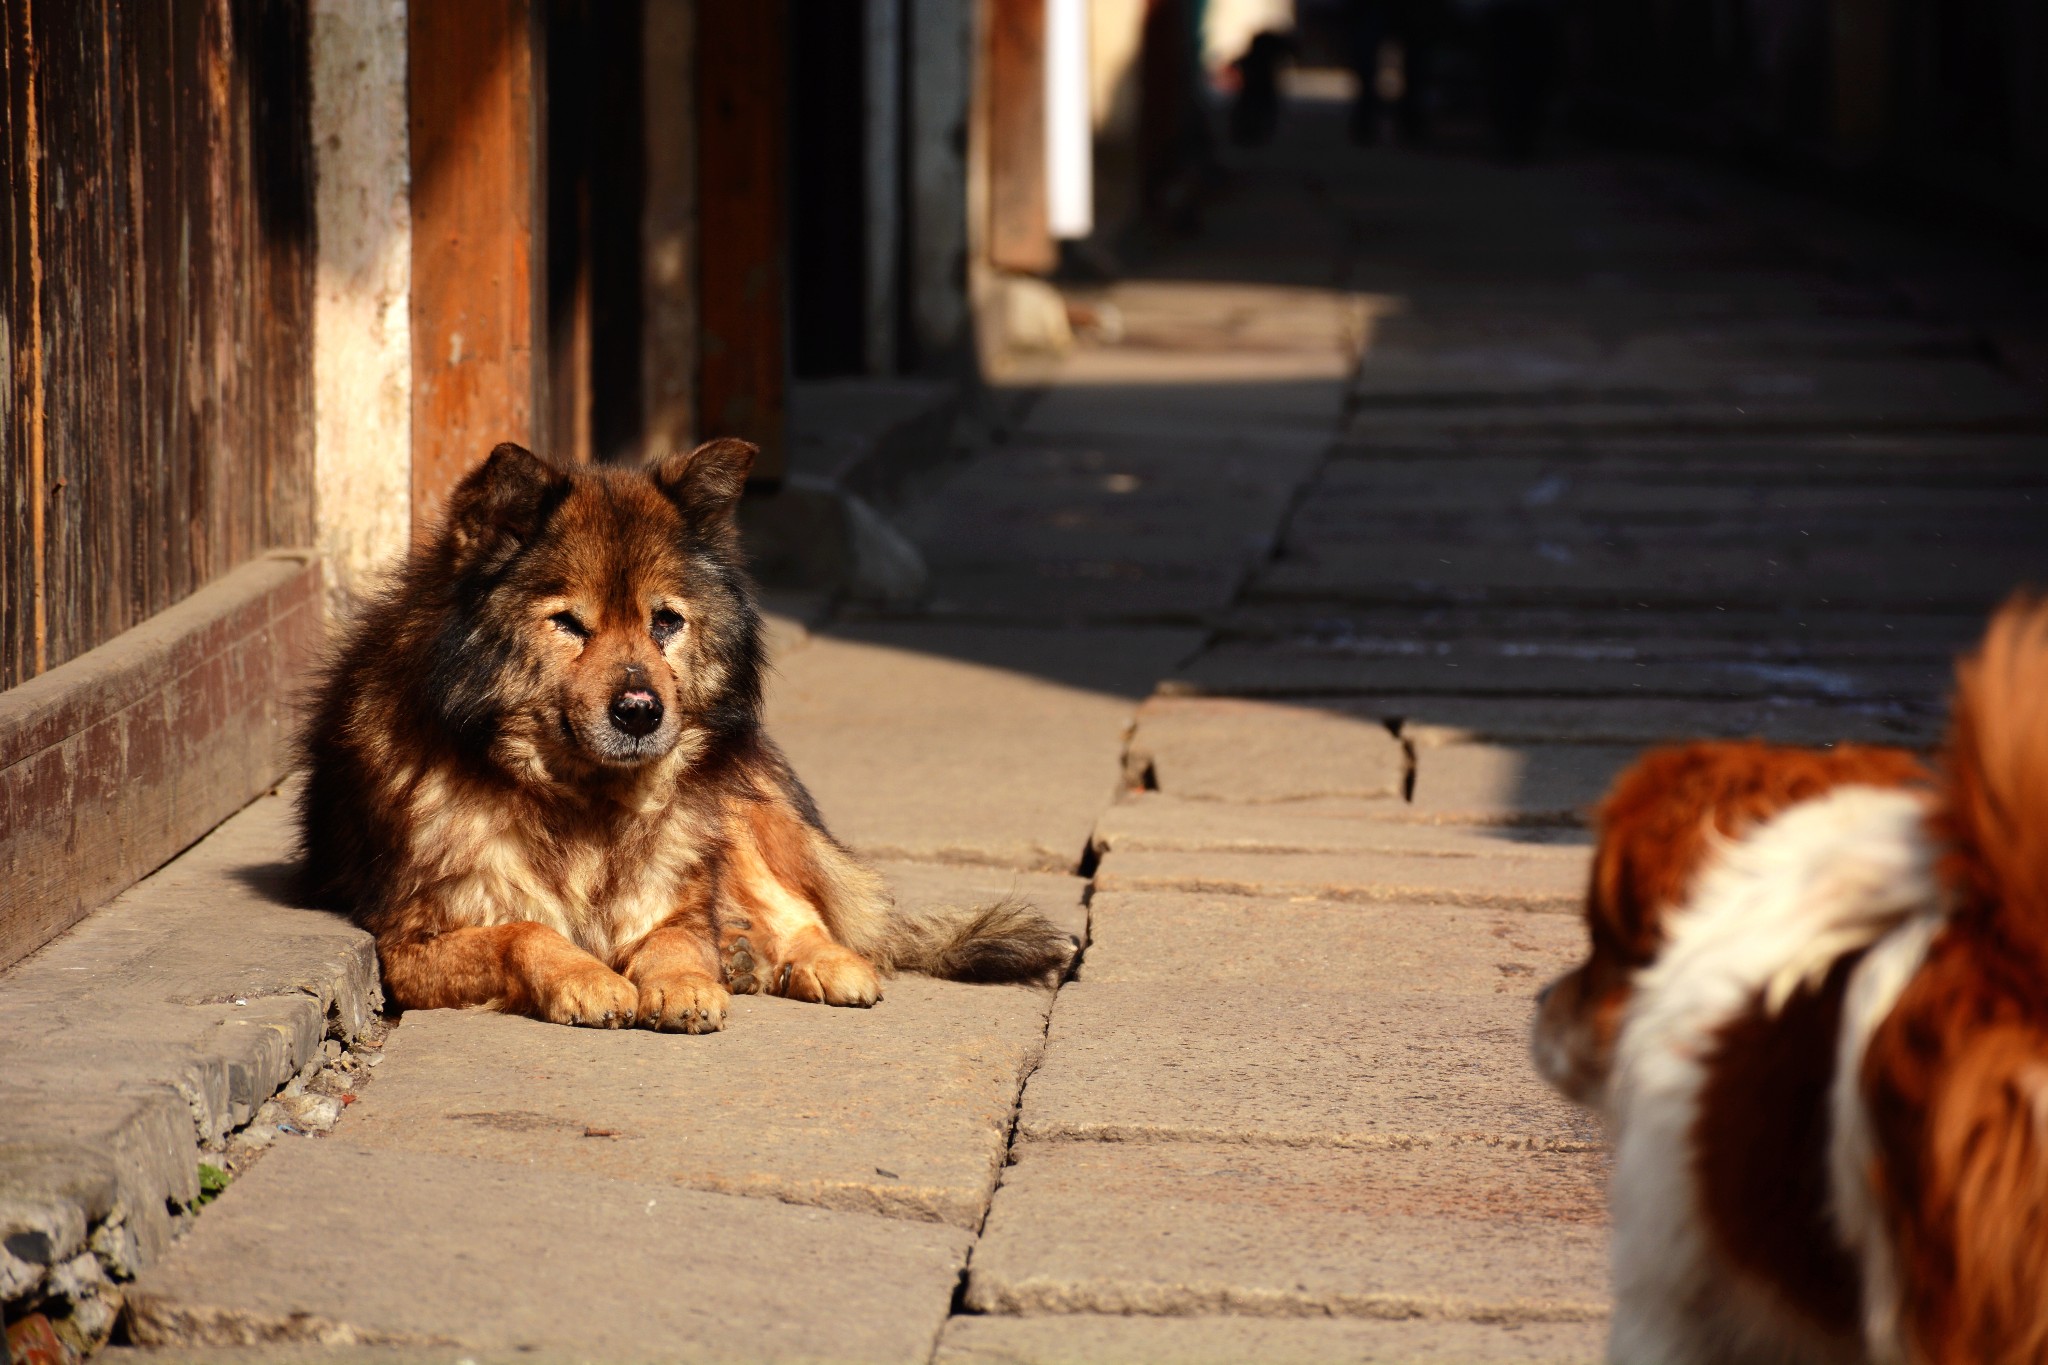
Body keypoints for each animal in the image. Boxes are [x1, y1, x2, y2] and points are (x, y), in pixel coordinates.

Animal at [303, 444, 1081, 1031]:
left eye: (665, 621)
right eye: (569, 623)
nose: (640, 711)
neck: (586, 805)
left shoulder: (675, 894)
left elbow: (678, 937)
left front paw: (686, 980)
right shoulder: (408, 945)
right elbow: (523, 930)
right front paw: (591, 977)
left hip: (739, 811)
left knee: (806, 910)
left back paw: (806, 961)